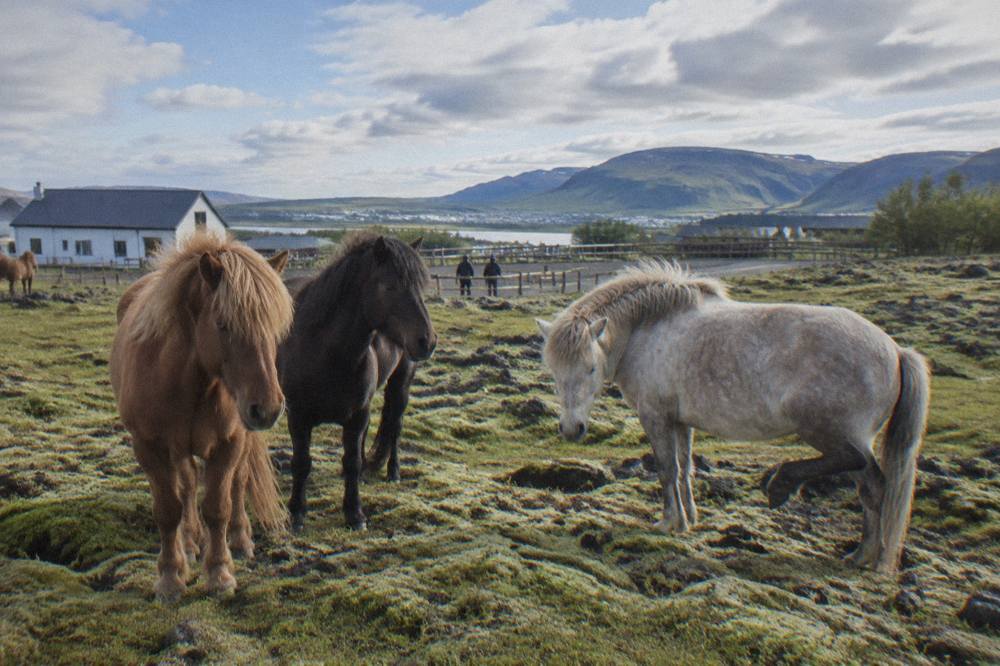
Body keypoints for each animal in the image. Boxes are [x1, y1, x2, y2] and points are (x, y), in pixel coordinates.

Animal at [110, 232, 294, 602]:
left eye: (274, 328)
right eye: (223, 325)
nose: (267, 408)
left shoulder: (228, 444)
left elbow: (218, 507)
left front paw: (220, 572)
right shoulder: (149, 448)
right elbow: (169, 509)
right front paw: (170, 576)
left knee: (236, 484)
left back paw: (239, 539)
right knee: (187, 486)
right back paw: (190, 543)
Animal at [278, 232, 436, 532]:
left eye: (421, 287)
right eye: (390, 286)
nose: (428, 342)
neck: (325, 352)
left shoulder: (356, 415)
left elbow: (351, 460)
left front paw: (355, 514)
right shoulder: (298, 416)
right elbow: (302, 462)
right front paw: (297, 513)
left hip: (400, 384)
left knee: (394, 426)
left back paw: (393, 472)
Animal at [536, 261, 929, 574]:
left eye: (590, 368)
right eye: (554, 371)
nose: (571, 429)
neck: (647, 329)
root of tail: (895, 350)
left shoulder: (656, 417)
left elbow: (666, 470)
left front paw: (668, 521)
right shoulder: (681, 421)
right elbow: (685, 468)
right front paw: (690, 519)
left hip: (827, 430)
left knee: (859, 467)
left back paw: (785, 487)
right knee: (870, 488)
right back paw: (862, 555)